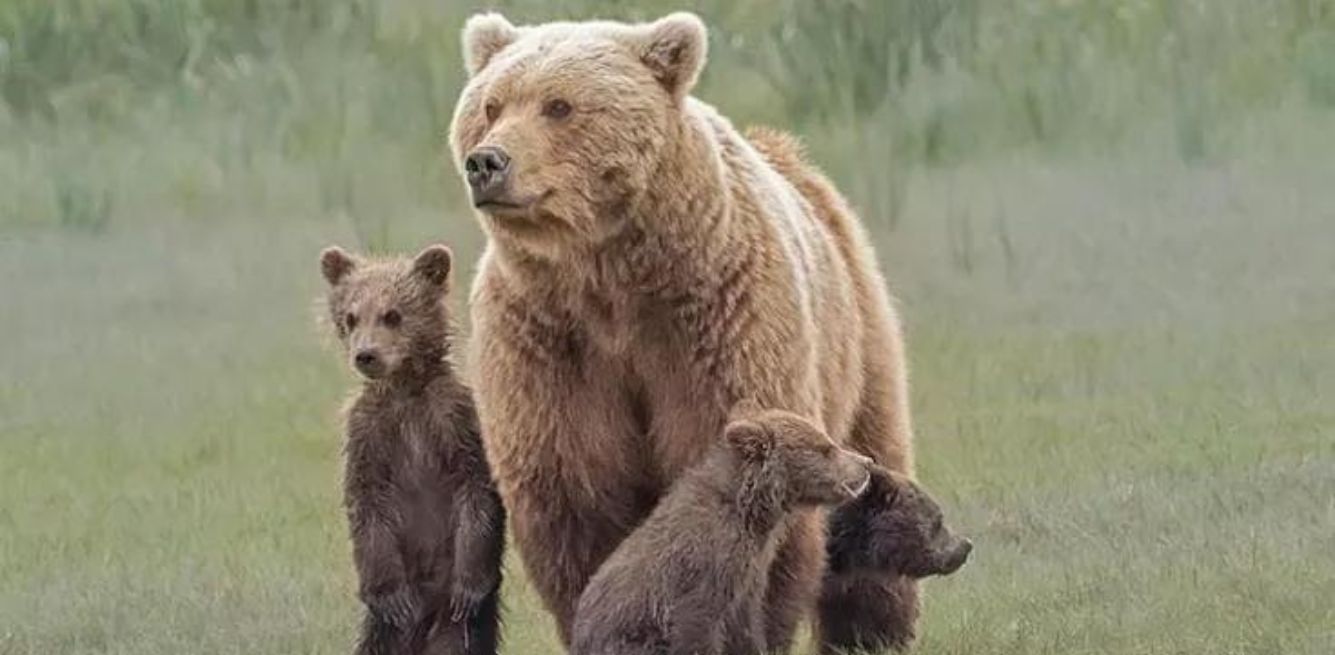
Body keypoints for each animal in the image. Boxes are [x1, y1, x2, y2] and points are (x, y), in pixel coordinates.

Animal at [448, 11, 918, 655]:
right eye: (491, 104)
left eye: (559, 105)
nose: (487, 162)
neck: (613, 282)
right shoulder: (549, 344)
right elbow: (577, 493)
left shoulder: (720, 325)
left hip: (858, 330)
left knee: (878, 460)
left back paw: (870, 632)